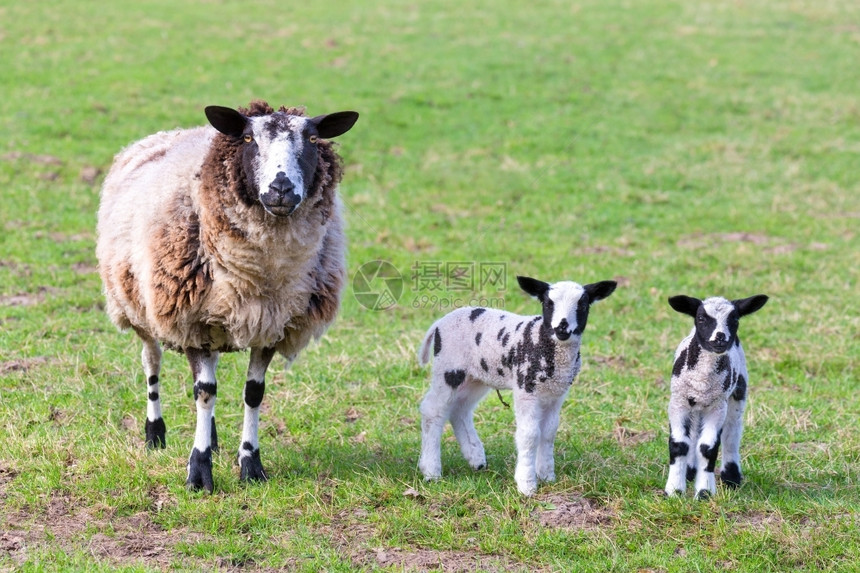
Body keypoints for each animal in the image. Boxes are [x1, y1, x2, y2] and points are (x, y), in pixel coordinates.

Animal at [95, 99, 358, 492]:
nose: (281, 188)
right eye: (248, 138)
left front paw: (250, 464)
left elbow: (252, 394)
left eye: (312, 138)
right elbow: (204, 392)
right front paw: (199, 471)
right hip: (138, 305)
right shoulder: (190, 320)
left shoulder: (270, 325)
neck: (261, 275)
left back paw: (214, 437)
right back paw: (155, 433)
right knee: (152, 364)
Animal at [418, 274, 616, 494]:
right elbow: (529, 434)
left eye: (583, 305)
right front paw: (526, 484)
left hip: (475, 377)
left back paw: (476, 459)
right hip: (449, 369)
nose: (562, 329)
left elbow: (548, 433)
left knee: (459, 409)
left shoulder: (556, 394)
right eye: (548, 303)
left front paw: (547, 475)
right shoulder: (526, 389)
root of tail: (439, 323)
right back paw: (431, 471)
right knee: (433, 410)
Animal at [660, 292, 768, 498]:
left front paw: (704, 492)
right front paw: (674, 490)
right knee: (695, 432)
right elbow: (679, 444)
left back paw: (731, 477)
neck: (703, 380)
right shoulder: (678, 402)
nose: (720, 338)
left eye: (735, 319)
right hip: (695, 405)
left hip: (738, 391)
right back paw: (690, 472)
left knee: (732, 432)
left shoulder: (717, 406)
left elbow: (708, 447)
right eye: (701, 319)